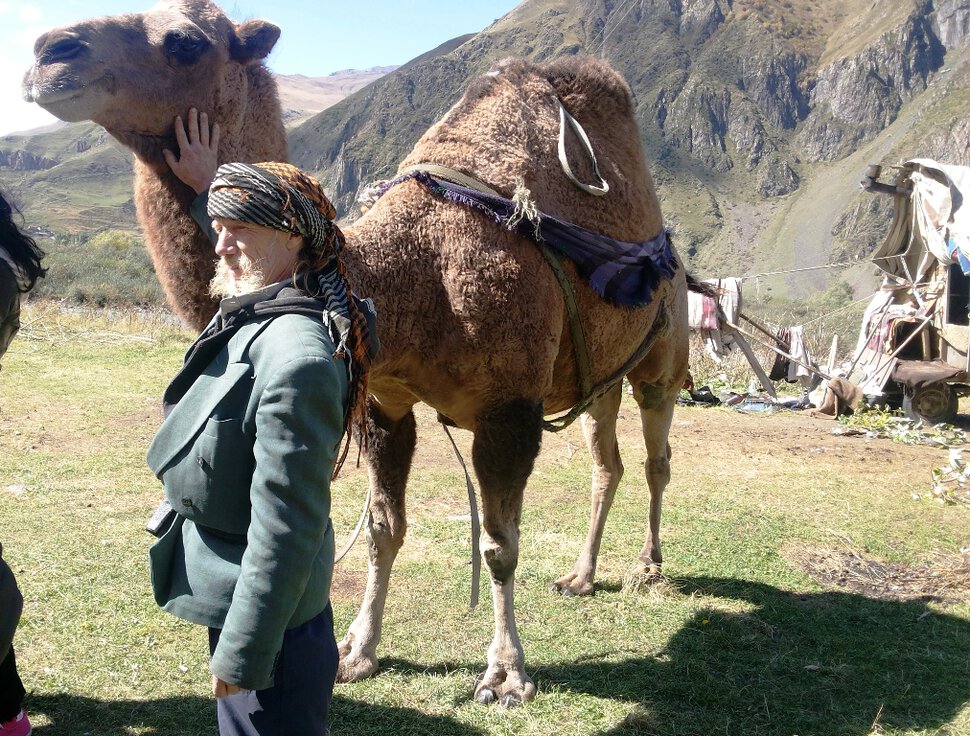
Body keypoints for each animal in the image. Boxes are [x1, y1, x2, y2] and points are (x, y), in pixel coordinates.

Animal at [24, 0, 688, 704]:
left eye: (184, 41)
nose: (48, 51)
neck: (412, 272)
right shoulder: (384, 401)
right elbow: (381, 530)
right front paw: (358, 650)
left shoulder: (509, 408)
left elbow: (498, 546)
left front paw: (507, 674)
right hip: (600, 379)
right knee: (606, 462)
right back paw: (580, 576)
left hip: (663, 354)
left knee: (657, 456)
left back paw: (648, 567)